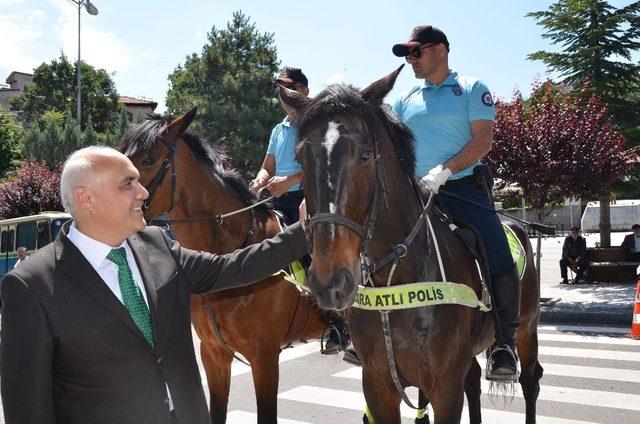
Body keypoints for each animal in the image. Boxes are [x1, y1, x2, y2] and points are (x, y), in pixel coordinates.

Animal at [278, 67, 544, 424]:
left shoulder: (445, 387)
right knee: (474, 381)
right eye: (300, 158)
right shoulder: (378, 385)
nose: (329, 281)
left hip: (526, 328)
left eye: (366, 154)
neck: (398, 274)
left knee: (530, 380)